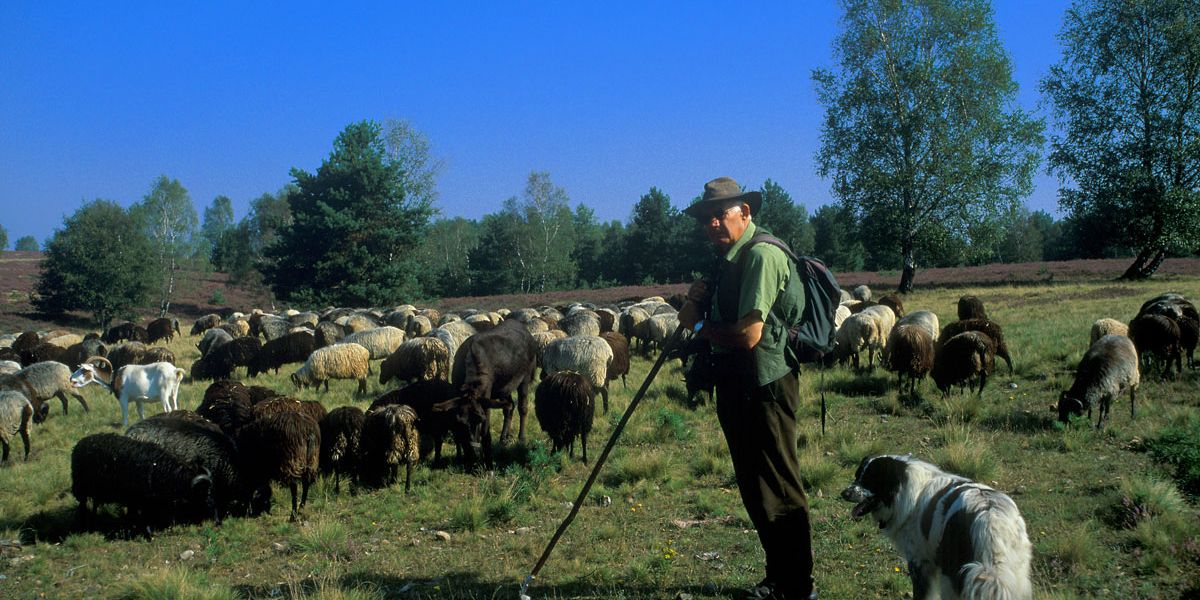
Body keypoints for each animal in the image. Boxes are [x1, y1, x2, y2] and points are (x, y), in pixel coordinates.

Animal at [844, 453, 1032, 600]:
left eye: (868, 479)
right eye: (857, 476)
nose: (843, 493)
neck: (902, 489)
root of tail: (989, 517)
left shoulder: (919, 564)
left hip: (951, 578)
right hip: (1013, 577)